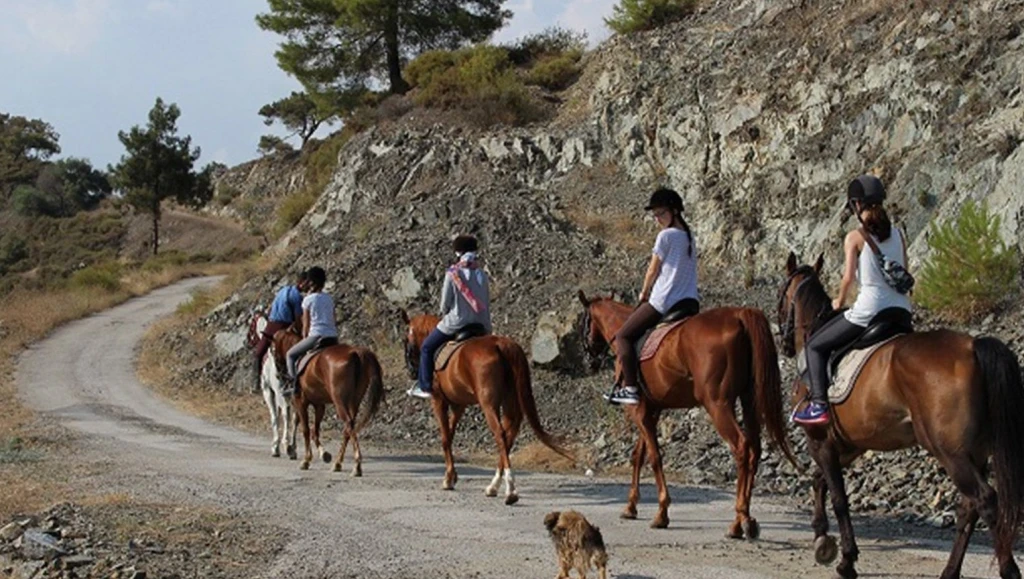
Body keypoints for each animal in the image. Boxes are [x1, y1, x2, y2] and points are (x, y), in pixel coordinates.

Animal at [246, 312, 296, 459]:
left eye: (251, 324)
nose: (247, 341)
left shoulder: (269, 392)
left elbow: (275, 417)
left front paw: (275, 447)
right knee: (295, 417)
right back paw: (293, 448)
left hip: (280, 392)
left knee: (287, 412)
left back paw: (287, 446)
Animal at [272, 328, 385, 475]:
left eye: (273, 351)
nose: (278, 374)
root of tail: (355, 352)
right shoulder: (319, 405)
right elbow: (315, 431)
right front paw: (323, 454)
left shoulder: (300, 402)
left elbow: (306, 429)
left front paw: (306, 460)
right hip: (354, 401)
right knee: (349, 428)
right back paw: (338, 463)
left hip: (339, 401)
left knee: (348, 424)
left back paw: (356, 465)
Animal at [400, 311, 574, 505]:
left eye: (405, 339)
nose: (410, 371)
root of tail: (501, 345)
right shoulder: (459, 405)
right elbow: (450, 435)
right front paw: (452, 476)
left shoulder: (438, 401)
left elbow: (445, 438)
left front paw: (448, 478)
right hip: (510, 401)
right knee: (510, 433)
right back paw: (494, 486)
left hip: (488, 404)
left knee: (500, 434)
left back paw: (510, 490)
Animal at [577, 291, 797, 536]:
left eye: (583, 322)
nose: (588, 361)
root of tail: (739, 315)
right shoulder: (652, 410)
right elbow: (638, 455)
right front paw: (631, 506)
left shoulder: (638, 410)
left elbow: (654, 457)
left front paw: (662, 512)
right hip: (749, 400)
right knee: (754, 450)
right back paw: (747, 519)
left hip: (717, 404)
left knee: (742, 447)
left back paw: (738, 521)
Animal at [777, 253, 1024, 579]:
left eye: (781, 295)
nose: (784, 343)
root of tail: (972, 346)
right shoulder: (849, 444)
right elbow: (821, 481)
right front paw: (822, 537)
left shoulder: (820, 441)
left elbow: (839, 497)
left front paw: (845, 558)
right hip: (976, 453)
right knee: (969, 508)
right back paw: (950, 571)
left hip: (950, 452)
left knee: (984, 501)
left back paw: (1008, 569)